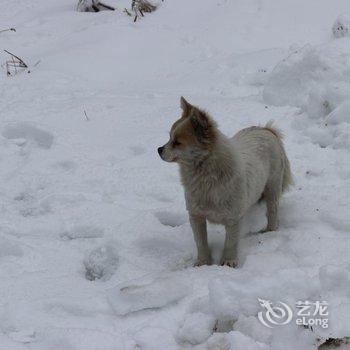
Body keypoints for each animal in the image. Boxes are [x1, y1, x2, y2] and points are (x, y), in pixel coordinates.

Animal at [159, 98, 292, 268]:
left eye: (177, 142)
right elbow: (200, 242)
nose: (159, 149)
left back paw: (270, 231)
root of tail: (266, 129)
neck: (205, 176)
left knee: (272, 211)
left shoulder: (233, 219)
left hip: (273, 188)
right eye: (170, 138)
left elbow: (230, 242)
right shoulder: (196, 216)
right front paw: (203, 262)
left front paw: (228, 262)